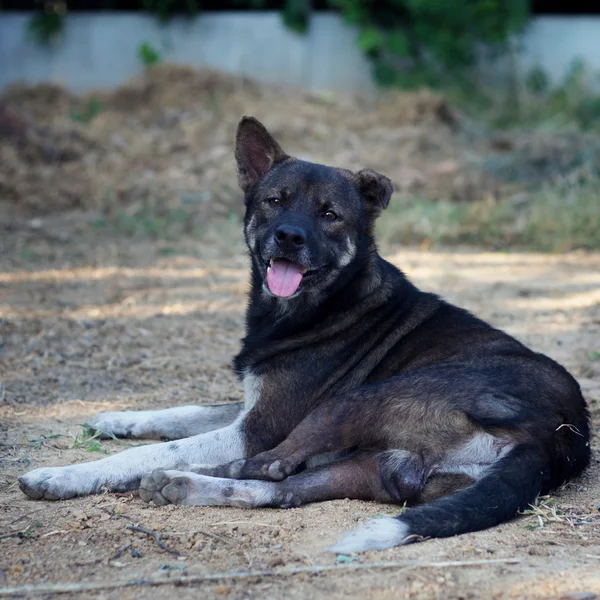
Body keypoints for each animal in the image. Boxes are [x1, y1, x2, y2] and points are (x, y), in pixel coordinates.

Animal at [18, 116, 592, 552]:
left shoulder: (261, 425)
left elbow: (164, 447)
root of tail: (559, 437)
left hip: (356, 402)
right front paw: (115, 417)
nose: (289, 237)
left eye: (330, 215)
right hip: (376, 466)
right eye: (275, 200)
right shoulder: (252, 405)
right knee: (282, 487)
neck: (320, 303)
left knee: (263, 466)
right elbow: (181, 412)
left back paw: (164, 479)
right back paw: (182, 486)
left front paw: (63, 475)